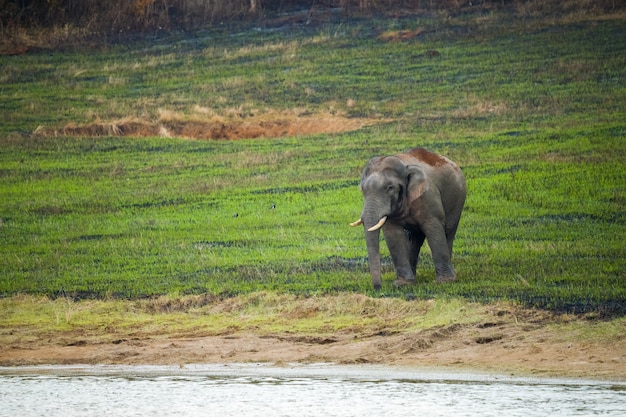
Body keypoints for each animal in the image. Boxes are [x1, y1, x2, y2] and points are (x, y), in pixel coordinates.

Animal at [352, 147, 464, 290]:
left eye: (390, 188)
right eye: (362, 189)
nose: (378, 288)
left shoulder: (427, 196)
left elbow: (433, 228)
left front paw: (445, 281)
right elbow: (393, 236)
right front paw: (403, 283)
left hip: (458, 198)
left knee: (448, 232)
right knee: (415, 240)